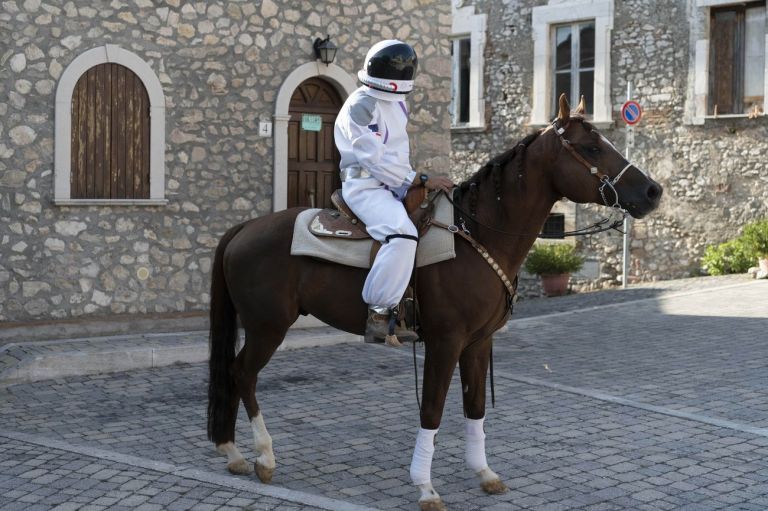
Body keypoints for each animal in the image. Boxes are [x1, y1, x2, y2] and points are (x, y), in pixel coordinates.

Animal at [208, 97, 660, 511]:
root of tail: (244, 227)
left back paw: (232, 452)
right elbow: (432, 410)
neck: (477, 234)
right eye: (591, 148)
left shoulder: (478, 343)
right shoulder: (445, 343)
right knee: (242, 373)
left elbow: (474, 407)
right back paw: (262, 456)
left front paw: (484, 473)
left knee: (233, 374)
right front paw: (425, 488)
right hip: (268, 326)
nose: (652, 191)